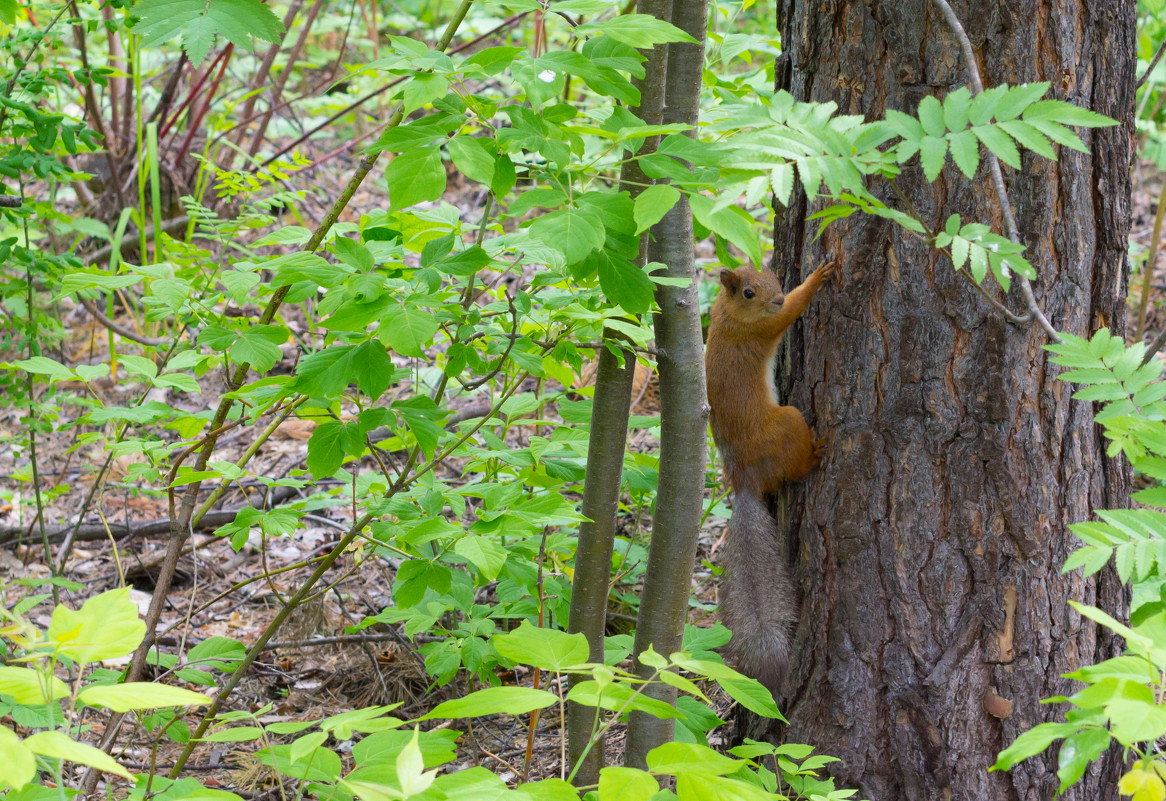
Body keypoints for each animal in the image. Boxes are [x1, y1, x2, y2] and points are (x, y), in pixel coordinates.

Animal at [699, 260, 839, 690]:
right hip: (787, 423)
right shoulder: (762, 329)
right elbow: (791, 312)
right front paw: (816, 278)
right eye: (748, 292)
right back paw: (815, 456)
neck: (729, 314)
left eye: (774, 277)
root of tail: (743, 477)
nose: (776, 296)